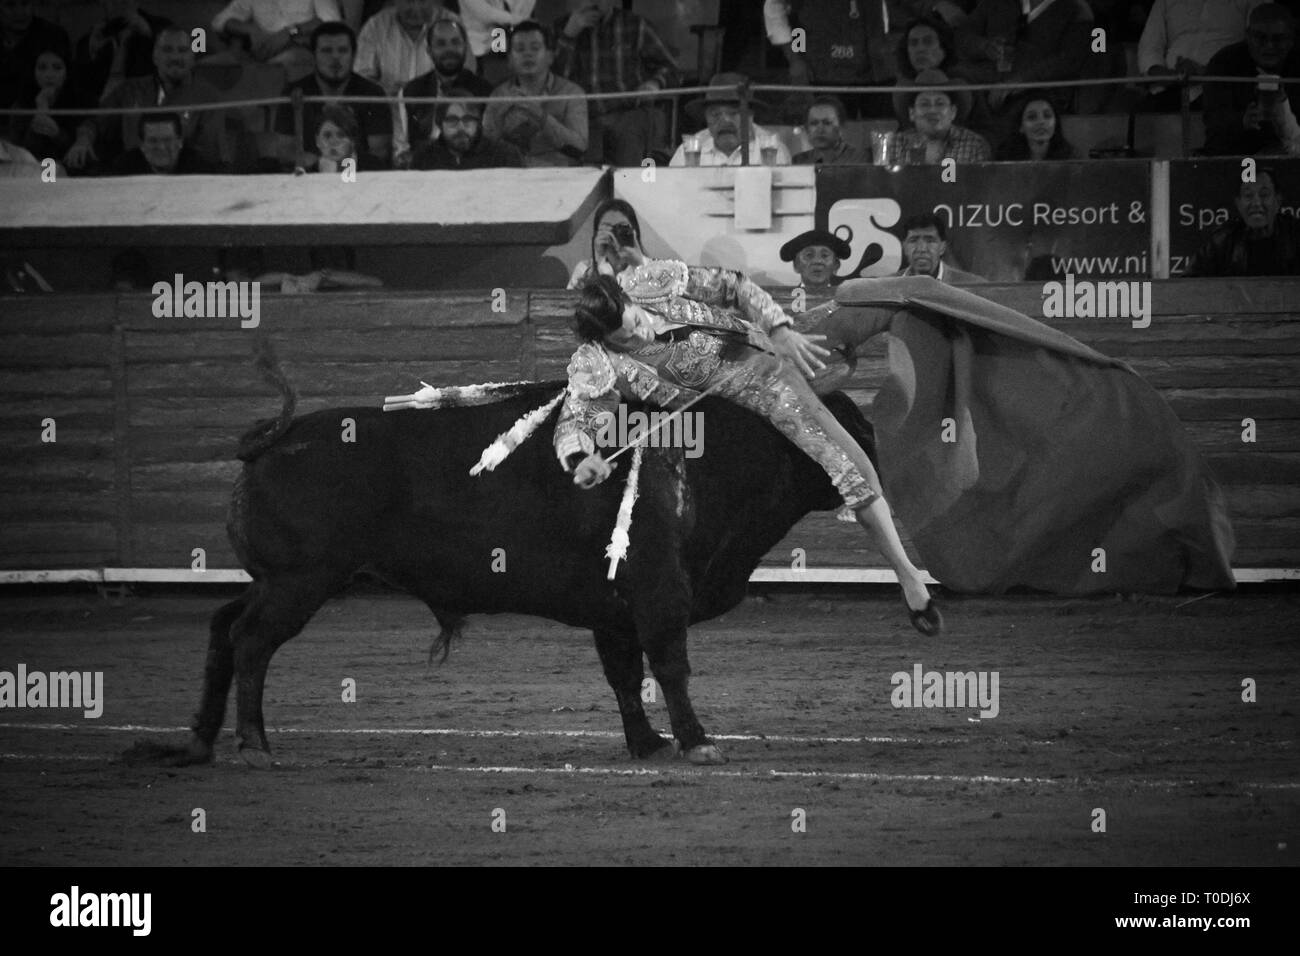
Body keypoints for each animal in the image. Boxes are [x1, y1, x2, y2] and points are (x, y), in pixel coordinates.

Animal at [162, 353, 878, 770]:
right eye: (851, 430)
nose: (876, 476)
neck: (718, 455)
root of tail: (272, 440)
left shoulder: (614, 613)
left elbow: (624, 677)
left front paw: (646, 745)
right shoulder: (658, 595)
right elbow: (671, 667)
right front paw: (696, 742)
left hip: (280, 581)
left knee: (223, 625)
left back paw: (200, 739)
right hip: (299, 583)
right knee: (252, 641)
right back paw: (253, 745)